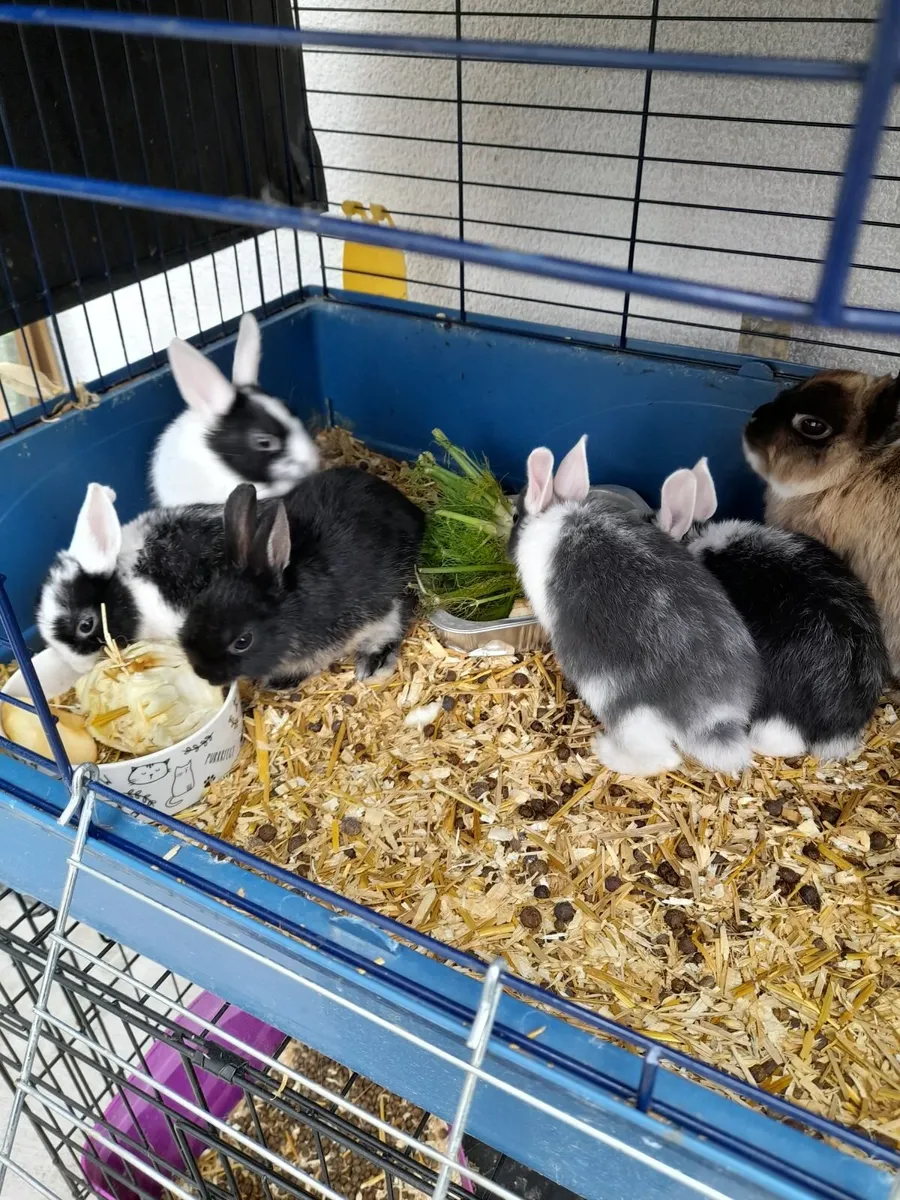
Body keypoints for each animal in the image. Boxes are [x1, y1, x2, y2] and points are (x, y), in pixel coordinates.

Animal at [179, 469, 425, 690]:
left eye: (243, 641)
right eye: (193, 614)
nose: (203, 674)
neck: (291, 609)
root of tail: (414, 511)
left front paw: (279, 683)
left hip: (394, 603)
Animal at [508, 435, 760, 777]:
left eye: (514, 517)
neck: (555, 512)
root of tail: (712, 718)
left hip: (629, 716)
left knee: (664, 759)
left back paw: (605, 750)